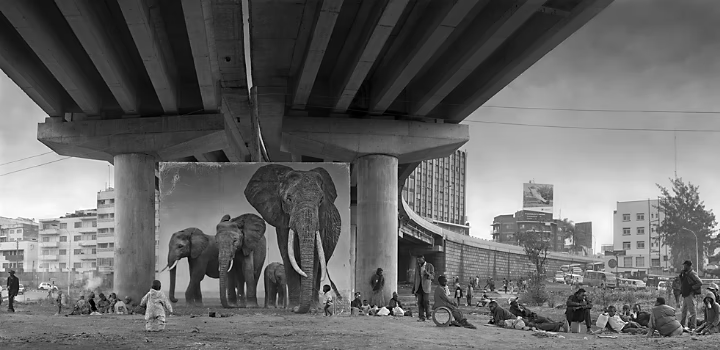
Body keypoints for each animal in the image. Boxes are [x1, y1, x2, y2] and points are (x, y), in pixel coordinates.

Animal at [243, 165, 342, 314]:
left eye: (321, 201)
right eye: (288, 199)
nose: (296, 309)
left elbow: (315, 257)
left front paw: (310, 309)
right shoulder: (282, 220)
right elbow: (288, 255)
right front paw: (292, 308)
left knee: (320, 268)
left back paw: (316, 307)